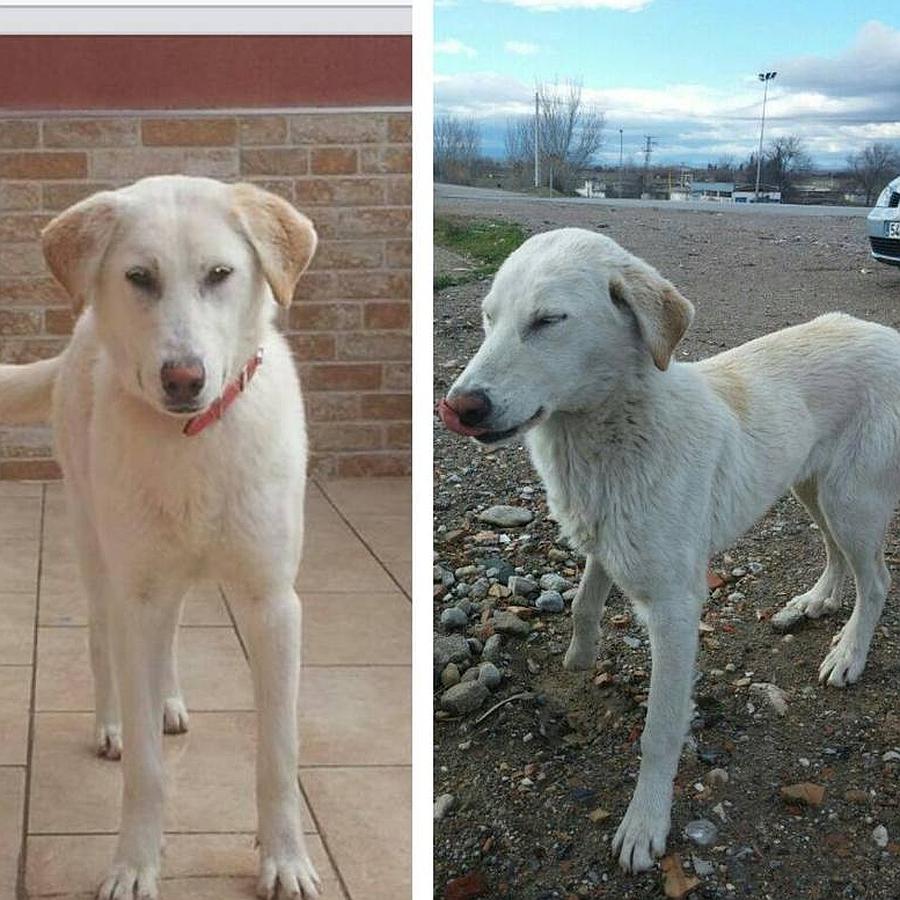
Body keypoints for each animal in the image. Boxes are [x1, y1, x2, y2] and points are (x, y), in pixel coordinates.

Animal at [0, 178, 322, 900]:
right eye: (139, 278)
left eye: (220, 275)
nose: (184, 378)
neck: (191, 442)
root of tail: (77, 336)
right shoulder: (137, 594)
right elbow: (145, 770)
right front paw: (134, 864)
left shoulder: (272, 604)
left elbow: (279, 754)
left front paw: (284, 859)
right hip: (98, 553)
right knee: (105, 645)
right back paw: (114, 721)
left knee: (167, 640)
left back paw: (169, 699)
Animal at [440, 229, 896, 876]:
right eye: (487, 318)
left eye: (548, 320)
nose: (457, 407)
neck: (612, 432)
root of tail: (889, 335)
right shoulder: (604, 540)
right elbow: (583, 603)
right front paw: (580, 657)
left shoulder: (677, 607)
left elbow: (659, 731)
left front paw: (644, 823)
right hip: (812, 485)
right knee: (835, 553)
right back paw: (815, 602)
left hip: (852, 497)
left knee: (876, 579)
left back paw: (850, 653)